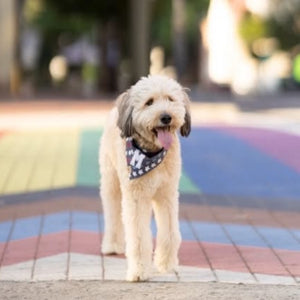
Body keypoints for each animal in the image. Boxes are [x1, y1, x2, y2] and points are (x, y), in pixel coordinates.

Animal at [99, 74, 191, 282]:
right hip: (111, 182)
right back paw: (112, 245)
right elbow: (139, 237)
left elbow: (169, 233)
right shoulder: (136, 198)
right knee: (112, 213)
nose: (166, 117)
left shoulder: (167, 194)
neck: (150, 153)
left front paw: (167, 265)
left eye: (170, 99)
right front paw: (139, 271)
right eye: (149, 102)